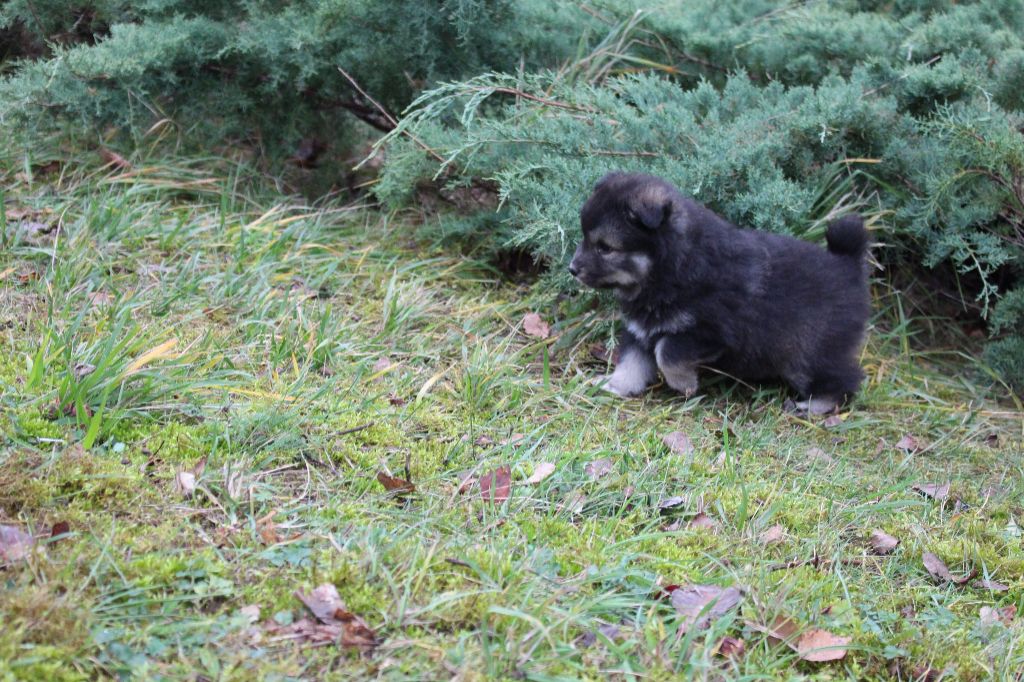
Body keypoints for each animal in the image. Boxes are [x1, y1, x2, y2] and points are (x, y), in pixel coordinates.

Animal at [569, 172, 870, 414]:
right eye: (585, 237)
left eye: (605, 248)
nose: (572, 269)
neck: (672, 268)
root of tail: (848, 265)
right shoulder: (640, 330)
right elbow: (631, 364)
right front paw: (614, 386)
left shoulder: (713, 332)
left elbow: (667, 353)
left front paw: (684, 384)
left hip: (807, 352)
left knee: (846, 379)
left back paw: (814, 405)